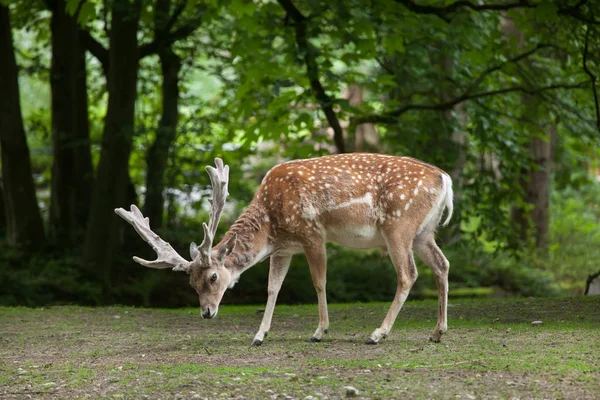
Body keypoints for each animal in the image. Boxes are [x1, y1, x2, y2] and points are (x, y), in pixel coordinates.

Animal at [116, 153, 454, 344]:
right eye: (191, 283)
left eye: (213, 277)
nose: (207, 313)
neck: (271, 224)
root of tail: (446, 179)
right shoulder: (283, 249)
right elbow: (272, 288)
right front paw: (259, 336)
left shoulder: (312, 233)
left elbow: (319, 282)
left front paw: (319, 331)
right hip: (423, 232)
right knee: (442, 264)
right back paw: (437, 332)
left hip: (398, 225)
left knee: (408, 274)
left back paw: (377, 334)